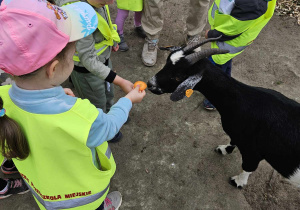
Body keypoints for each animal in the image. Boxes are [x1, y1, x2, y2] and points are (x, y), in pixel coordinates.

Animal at [147, 37, 300, 188]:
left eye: (178, 76)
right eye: (166, 62)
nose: (150, 84)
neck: (243, 100)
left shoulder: (252, 151)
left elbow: (248, 167)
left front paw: (238, 181)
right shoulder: (236, 134)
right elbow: (232, 140)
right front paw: (225, 149)